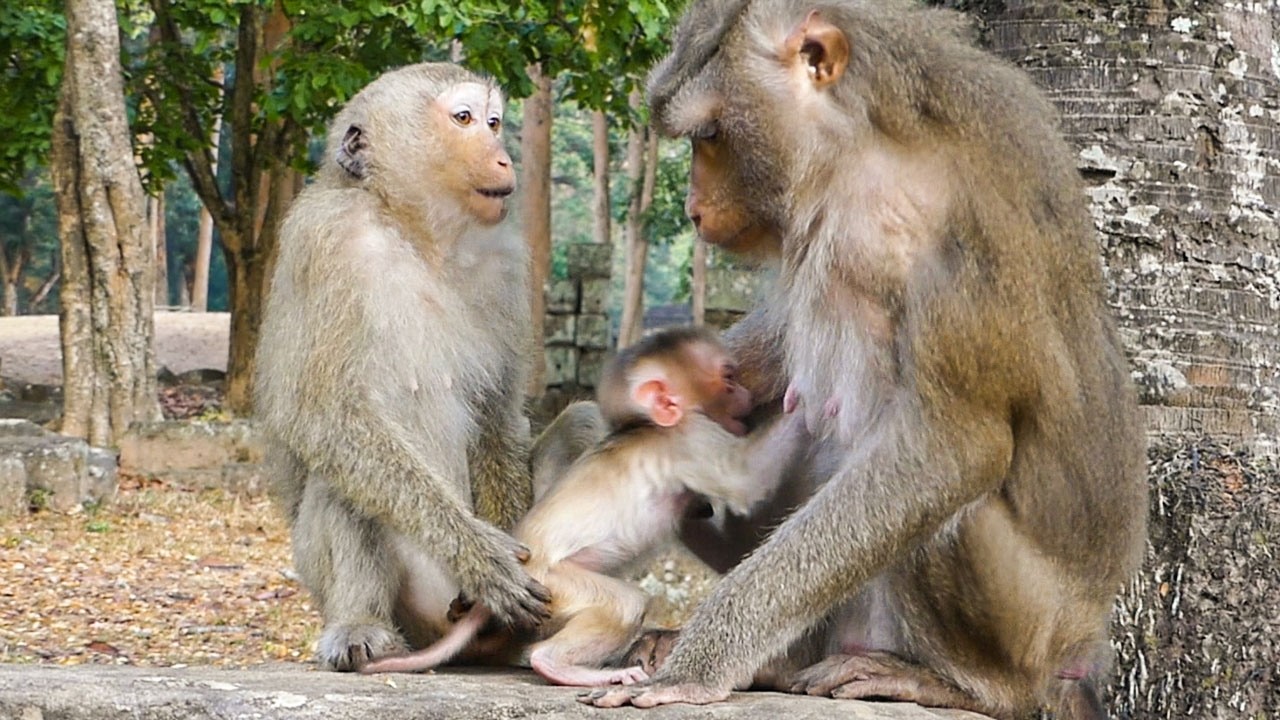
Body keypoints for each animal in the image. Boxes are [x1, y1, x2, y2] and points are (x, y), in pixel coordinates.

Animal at [254, 62, 552, 672]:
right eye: (463, 119)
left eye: (493, 122)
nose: (503, 156)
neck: (416, 233)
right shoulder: (325, 241)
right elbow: (321, 417)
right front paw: (483, 557)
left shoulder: (507, 263)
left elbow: (498, 418)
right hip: (403, 603)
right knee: (342, 474)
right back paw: (359, 625)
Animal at [360, 327, 806, 686]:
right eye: (728, 378)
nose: (745, 393)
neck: (649, 426)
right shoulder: (691, 437)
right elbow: (746, 480)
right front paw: (801, 401)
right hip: (553, 584)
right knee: (623, 605)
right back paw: (558, 665)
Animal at [583, 2, 1146, 718]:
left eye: (709, 135)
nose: (692, 207)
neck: (865, 145)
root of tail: (1083, 649)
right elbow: (772, 351)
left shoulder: (906, 235)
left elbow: (952, 449)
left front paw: (699, 663)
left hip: (1032, 628)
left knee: (952, 509)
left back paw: (964, 686)